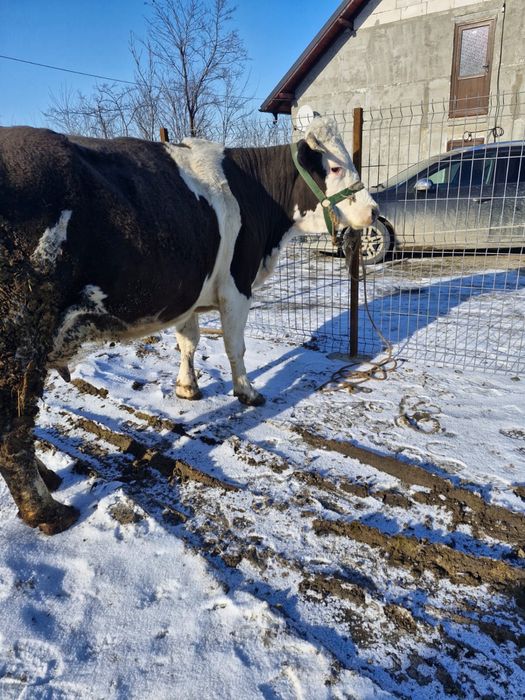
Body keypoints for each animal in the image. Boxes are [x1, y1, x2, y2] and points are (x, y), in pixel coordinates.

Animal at [0, 117, 377, 534]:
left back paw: (49, 479)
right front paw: (248, 392)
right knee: (12, 430)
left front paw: (186, 388)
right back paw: (49, 511)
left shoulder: (189, 295)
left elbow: (189, 341)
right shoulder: (236, 285)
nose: (375, 211)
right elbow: (234, 346)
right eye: (336, 167)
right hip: (21, 336)